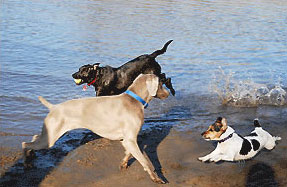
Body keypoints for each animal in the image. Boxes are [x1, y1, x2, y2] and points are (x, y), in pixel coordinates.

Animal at [23, 74, 171, 183]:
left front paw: (123, 164)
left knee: (34, 138)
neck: (134, 99)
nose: (168, 93)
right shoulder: (130, 139)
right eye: (161, 83)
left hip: (50, 133)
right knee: (25, 144)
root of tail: (53, 107)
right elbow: (145, 161)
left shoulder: (128, 139)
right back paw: (27, 161)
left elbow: (129, 152)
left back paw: (31, 155)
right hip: (51, 137)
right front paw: (157, 178)